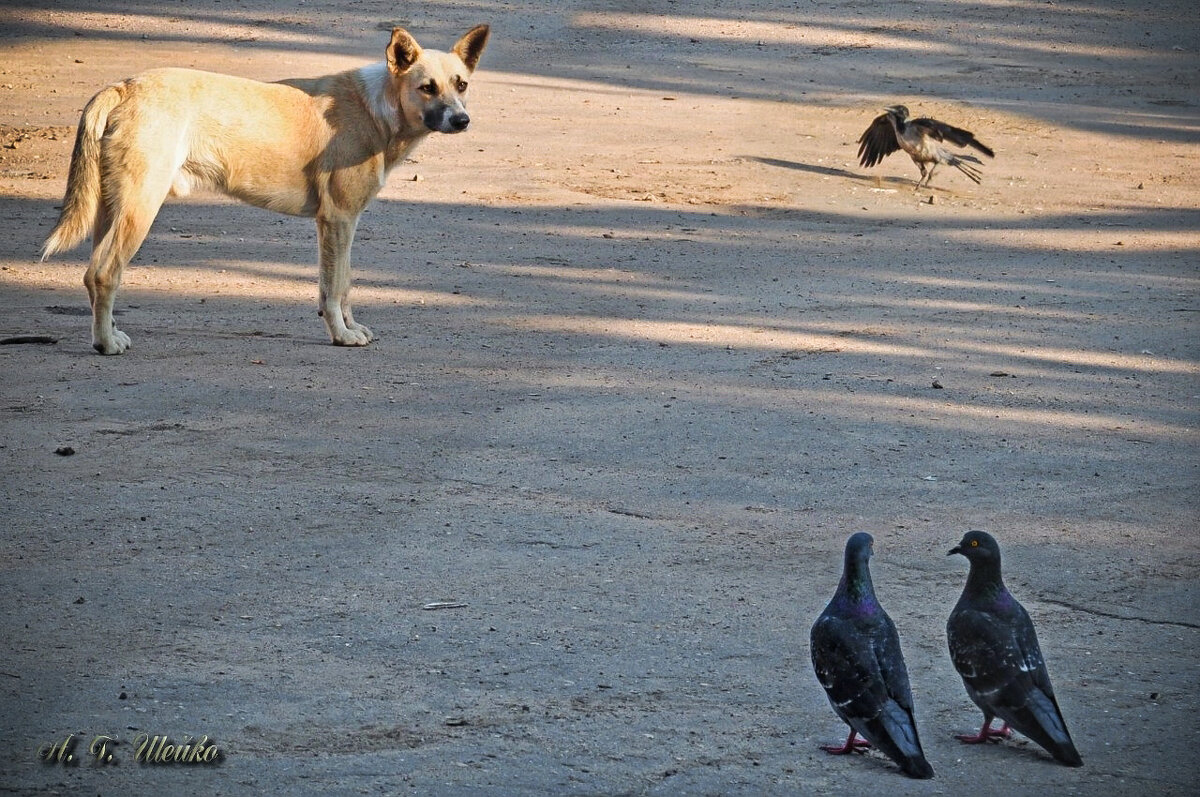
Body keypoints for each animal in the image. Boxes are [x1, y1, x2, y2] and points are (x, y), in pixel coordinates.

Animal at [41, 23, 492, 352]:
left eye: (461, 85)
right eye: (427, 87)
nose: (462, 120)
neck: (377, 106)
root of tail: (123, 85)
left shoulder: (341, 224)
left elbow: (343, 284)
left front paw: (348, 327)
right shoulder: (337, 220)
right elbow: (334, 287)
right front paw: (341, 336)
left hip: (112, 210)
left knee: (93, 276)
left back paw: (107, 333)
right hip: (140, 209)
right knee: (104, 274)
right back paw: (105, 344)